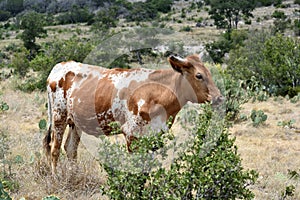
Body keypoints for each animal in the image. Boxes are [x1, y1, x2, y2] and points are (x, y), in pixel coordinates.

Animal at [44, 54, 223, 174]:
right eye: (199, 75)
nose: (219, 98)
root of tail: (60, 66)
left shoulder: (153, 135)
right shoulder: (131, 132)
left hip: (75, 122)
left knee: (70, 149)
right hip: (58, 116)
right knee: (54, 149)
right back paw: (56, 177)